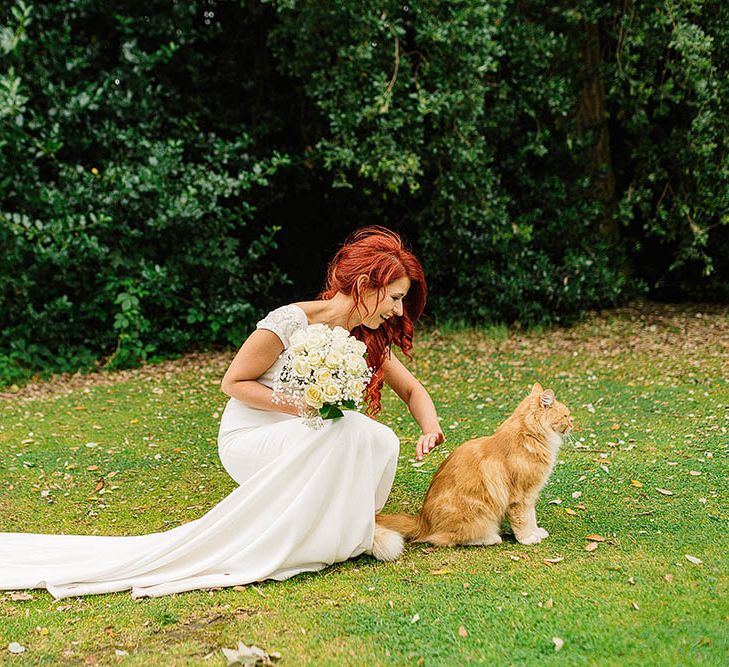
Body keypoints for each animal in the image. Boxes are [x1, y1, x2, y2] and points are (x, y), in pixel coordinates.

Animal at [378, 384, 572, 552]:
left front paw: (536, 531)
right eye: (565, 416)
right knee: (448, 539)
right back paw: (491, 538)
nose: (572, 423)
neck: (529, 436)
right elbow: (523, 521)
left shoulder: (530, 495)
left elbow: (532, 517)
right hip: (479, 513)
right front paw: (527, 538)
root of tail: (422, 520)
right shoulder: (520, 496)